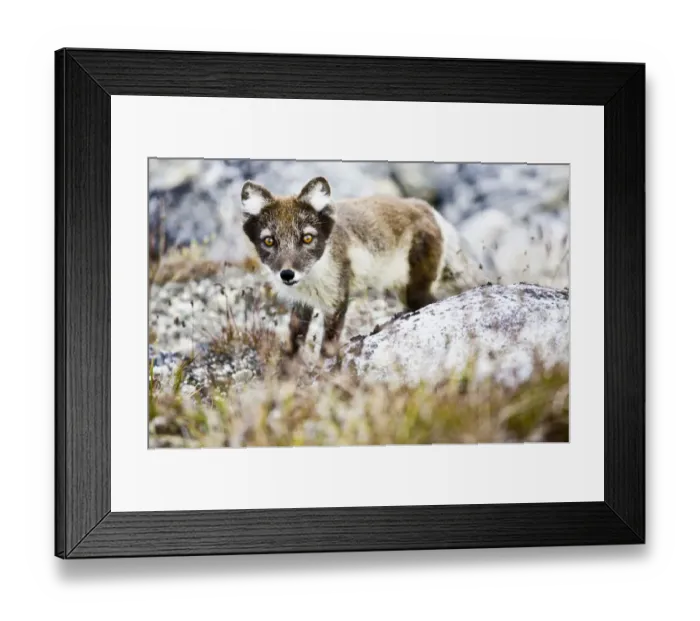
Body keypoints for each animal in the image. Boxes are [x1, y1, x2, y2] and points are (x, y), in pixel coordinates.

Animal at [240, 176, 479, 359]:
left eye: (307, 238)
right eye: (269, 241)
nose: (287, 274)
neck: (311, 278)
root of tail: (427, 207)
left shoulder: (336, 302)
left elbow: (327, 347)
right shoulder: (300, 304)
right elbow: (293, 342)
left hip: (416, 290)